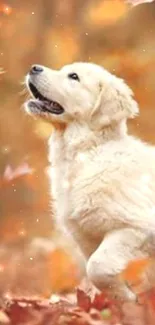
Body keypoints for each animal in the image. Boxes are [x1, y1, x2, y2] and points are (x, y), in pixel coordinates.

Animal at [24, 62, 155, 300]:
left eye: (74, 77)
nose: (34, 68)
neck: (87, 153)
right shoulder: (86, 237)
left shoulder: (138, 228)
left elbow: (97, 266)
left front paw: (128, 299)